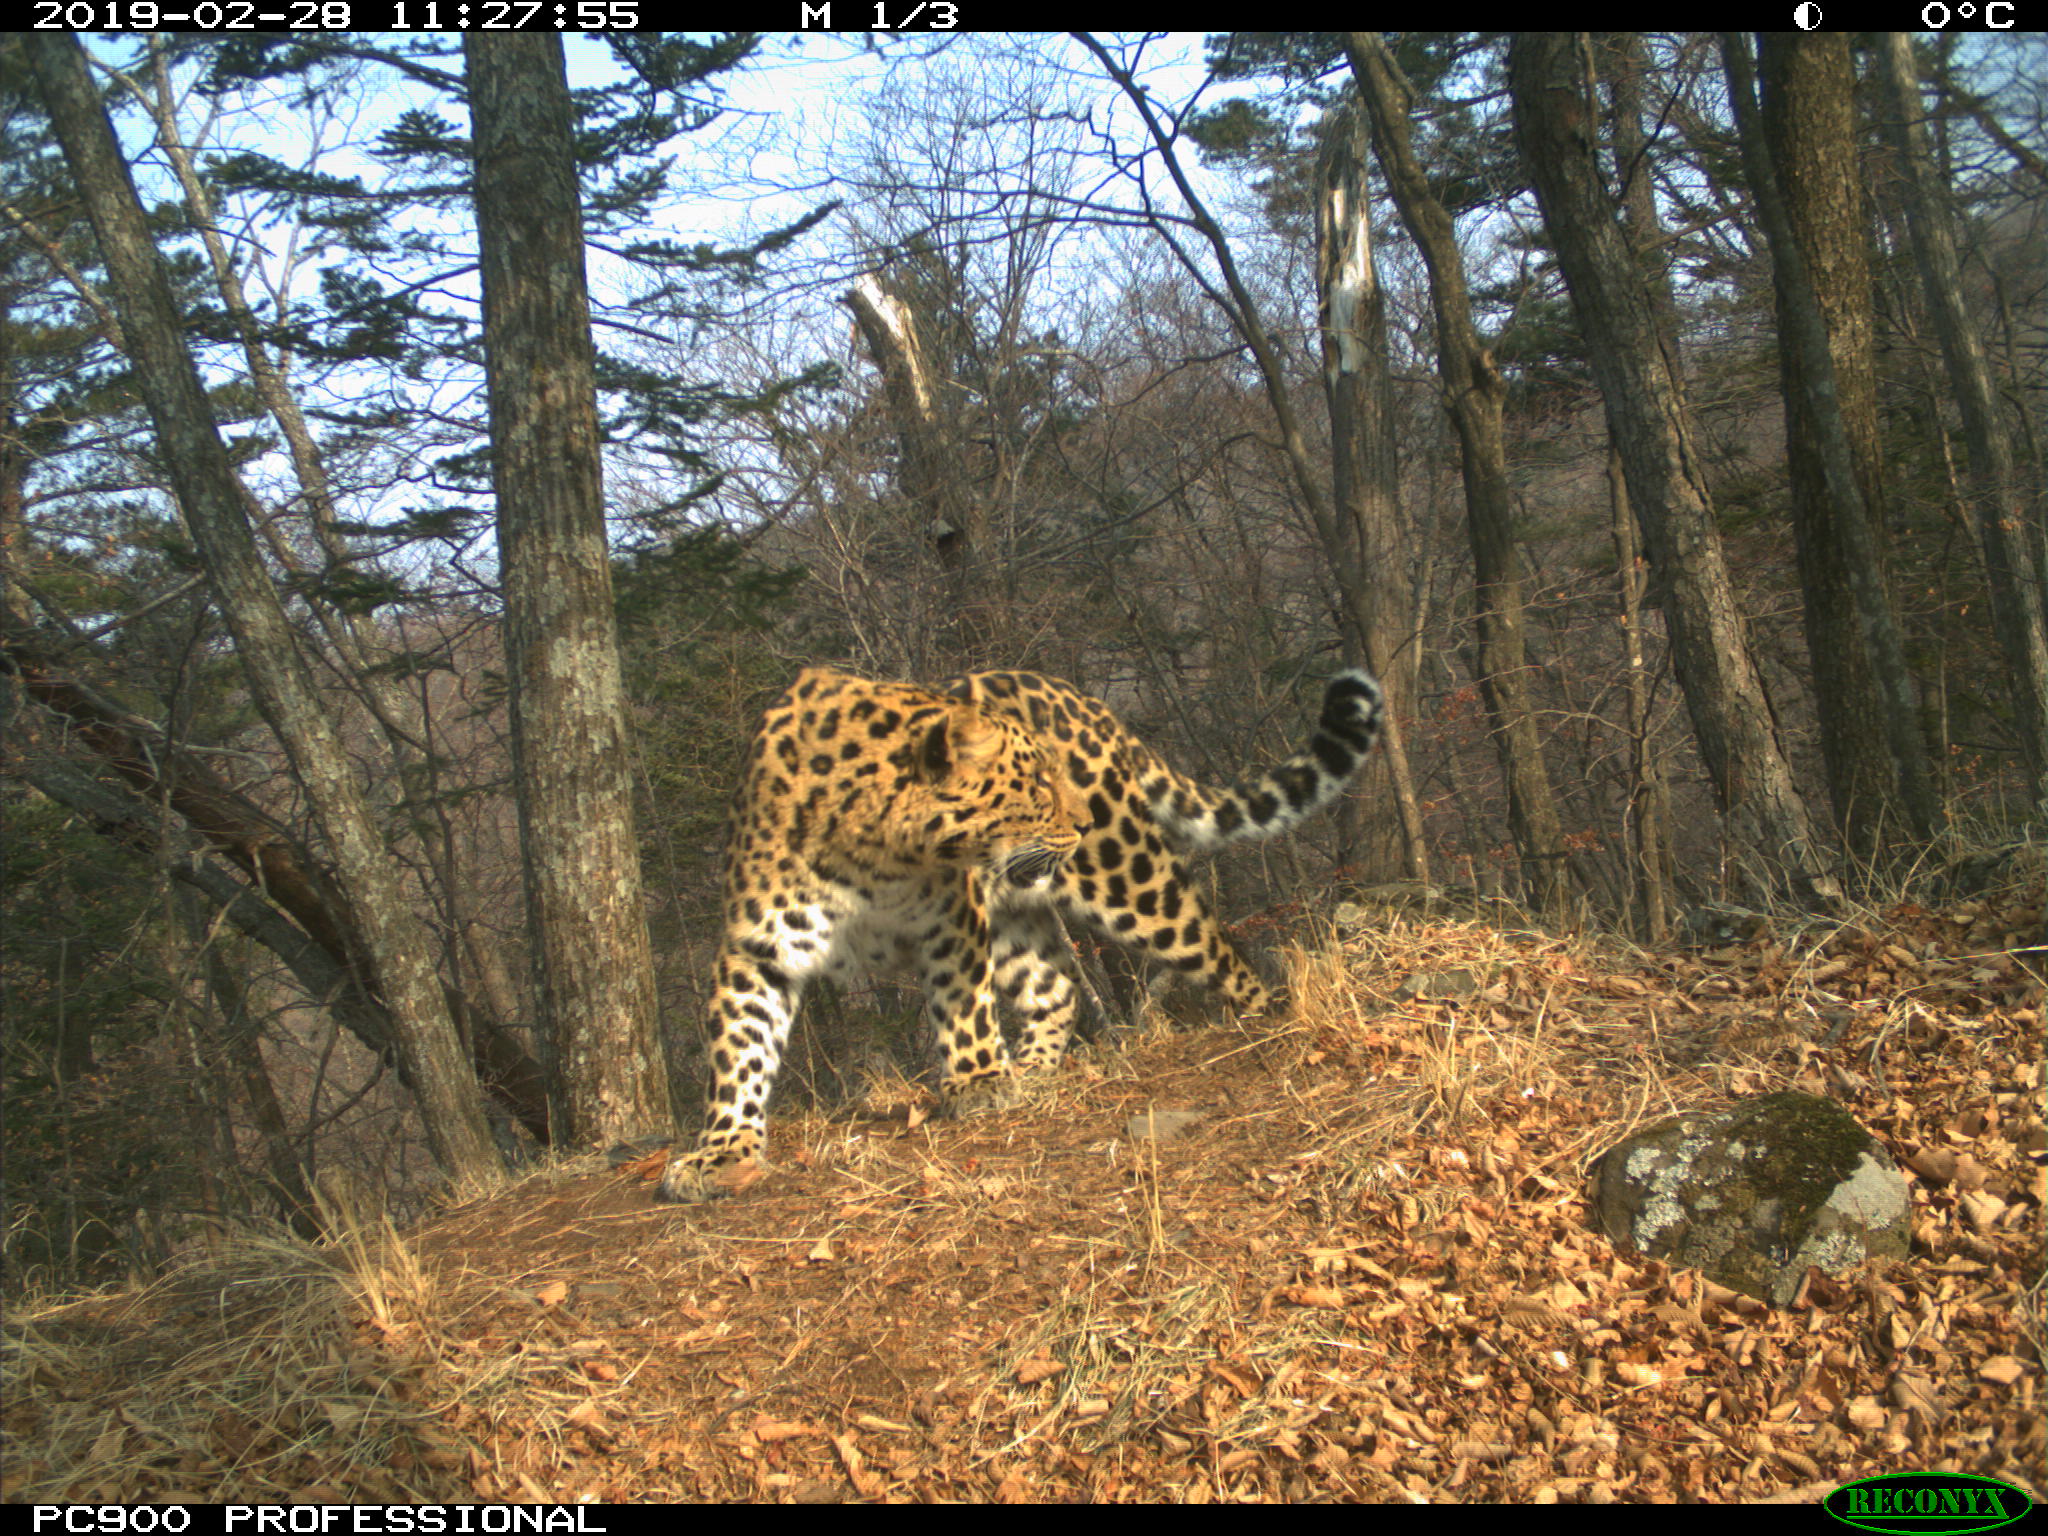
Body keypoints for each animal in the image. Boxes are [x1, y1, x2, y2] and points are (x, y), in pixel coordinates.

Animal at [663, 663, 1384, 1204]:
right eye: (1036, 782)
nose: (1083, 819)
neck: (874, 844)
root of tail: (1080, 696)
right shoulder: (757, 946)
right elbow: (738, 1053)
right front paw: (719, 1154)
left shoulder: (952, 916)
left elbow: (962, 1005)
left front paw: (979, 1082)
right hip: (1016, 914)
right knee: (1057, 984)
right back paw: (1033, 1069)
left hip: (1132, 882)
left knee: (1216, 944)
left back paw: (1265, 1017)